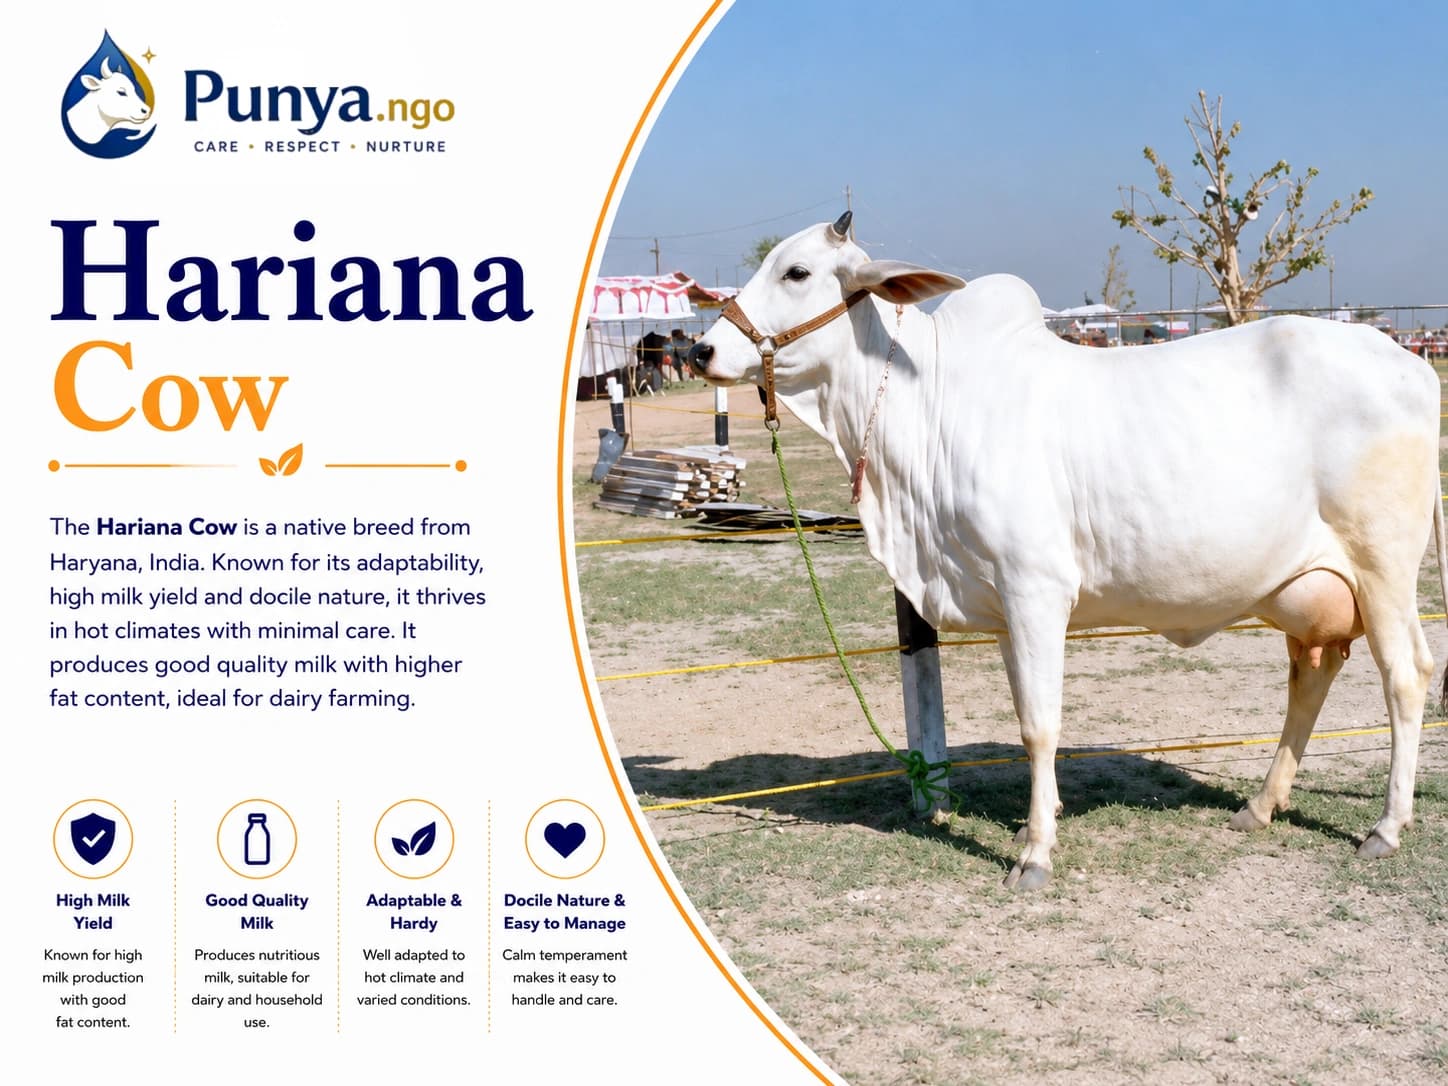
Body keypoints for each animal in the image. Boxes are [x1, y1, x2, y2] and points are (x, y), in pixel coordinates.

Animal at [688, 211, 1448, 890]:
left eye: (797, 271)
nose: (700, 351)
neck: (926, 406)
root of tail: (1409, 363)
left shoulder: (1036, 590)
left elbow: (1039, 725)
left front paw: (1036, 853)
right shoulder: (1001, 601)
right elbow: (1027, 713)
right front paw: (1037, 820)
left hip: (1382, 567)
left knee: (1406, 677)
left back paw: (1385, 826)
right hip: (1307, 588)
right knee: (1312, 677)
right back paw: (1260, 806)